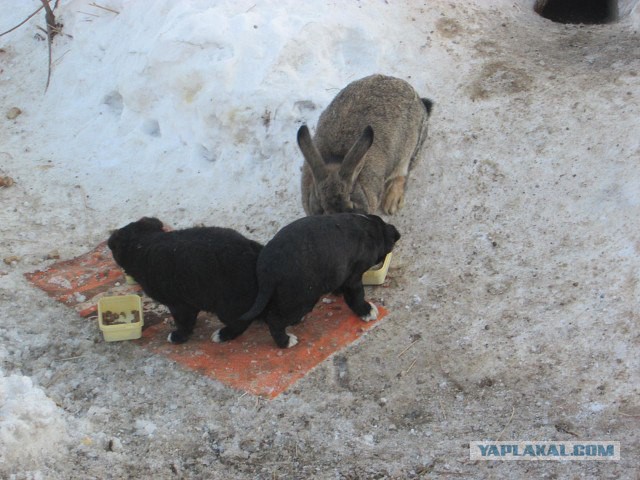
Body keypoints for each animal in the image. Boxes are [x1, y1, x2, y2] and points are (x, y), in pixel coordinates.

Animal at [109, 218, 264, 344]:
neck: (144, 243)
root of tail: (252, 249)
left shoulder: (178, 304)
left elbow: (183, 322)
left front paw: (178, 336)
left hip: (228, 305)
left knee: (240, 322)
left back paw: (222, 335)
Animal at [238, 215, 402, 348]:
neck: (370, 229)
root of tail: (267, 270)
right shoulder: (353, 278)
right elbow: (356, 296)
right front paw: (366, 311)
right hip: (302, 299)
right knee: (274, 319)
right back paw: (285, 342)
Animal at [298, 73, 432, 216]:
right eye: (321, 209)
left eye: (352, 205)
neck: (336, 160)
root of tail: (420, 102)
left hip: (410, 152)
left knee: (403, 174)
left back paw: (392, 203)